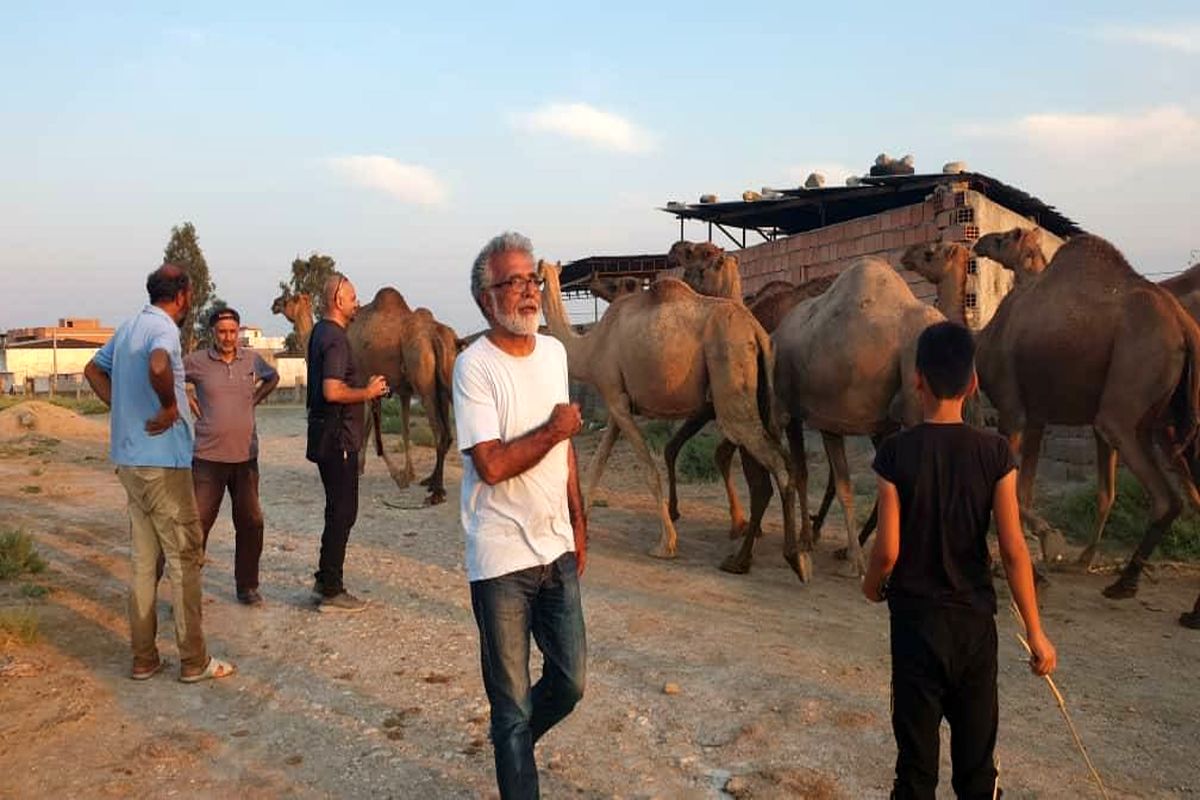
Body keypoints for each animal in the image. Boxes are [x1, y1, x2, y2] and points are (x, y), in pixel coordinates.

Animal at [348, 291, 458, 506]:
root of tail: (436, 336)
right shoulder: (402, 391)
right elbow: (404, 430)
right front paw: (408, 474)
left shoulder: (364, 380)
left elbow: (368, 430)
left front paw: (398, 476)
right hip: (444, 384)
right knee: (448, 433)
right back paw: (431, 482)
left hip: (426, 388)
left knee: (440, 433)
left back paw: (437, 492)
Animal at [537, 260, 806, 578]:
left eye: (537, 276)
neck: (589, 347)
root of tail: (757, 331)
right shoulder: (618, 404)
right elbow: (596, 466)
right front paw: (583, 531)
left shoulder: (615, 398)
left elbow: (648, 470)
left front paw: (666, 544)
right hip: (761, 393)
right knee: (780, 464)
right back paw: (774, 553)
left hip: (731, 378)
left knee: (774, 463)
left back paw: (785, 559)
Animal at [960, 227, 1200, 597]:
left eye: (1004, 238)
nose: (979, 241)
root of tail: (1184, 327)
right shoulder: (1038, 416)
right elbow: (1034, 490)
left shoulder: (1013, 411)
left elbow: (1011, 490)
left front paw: (1046, 551)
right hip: (1170, 423)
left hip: (1123, 410)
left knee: (1167, 498)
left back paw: (1124, 583)